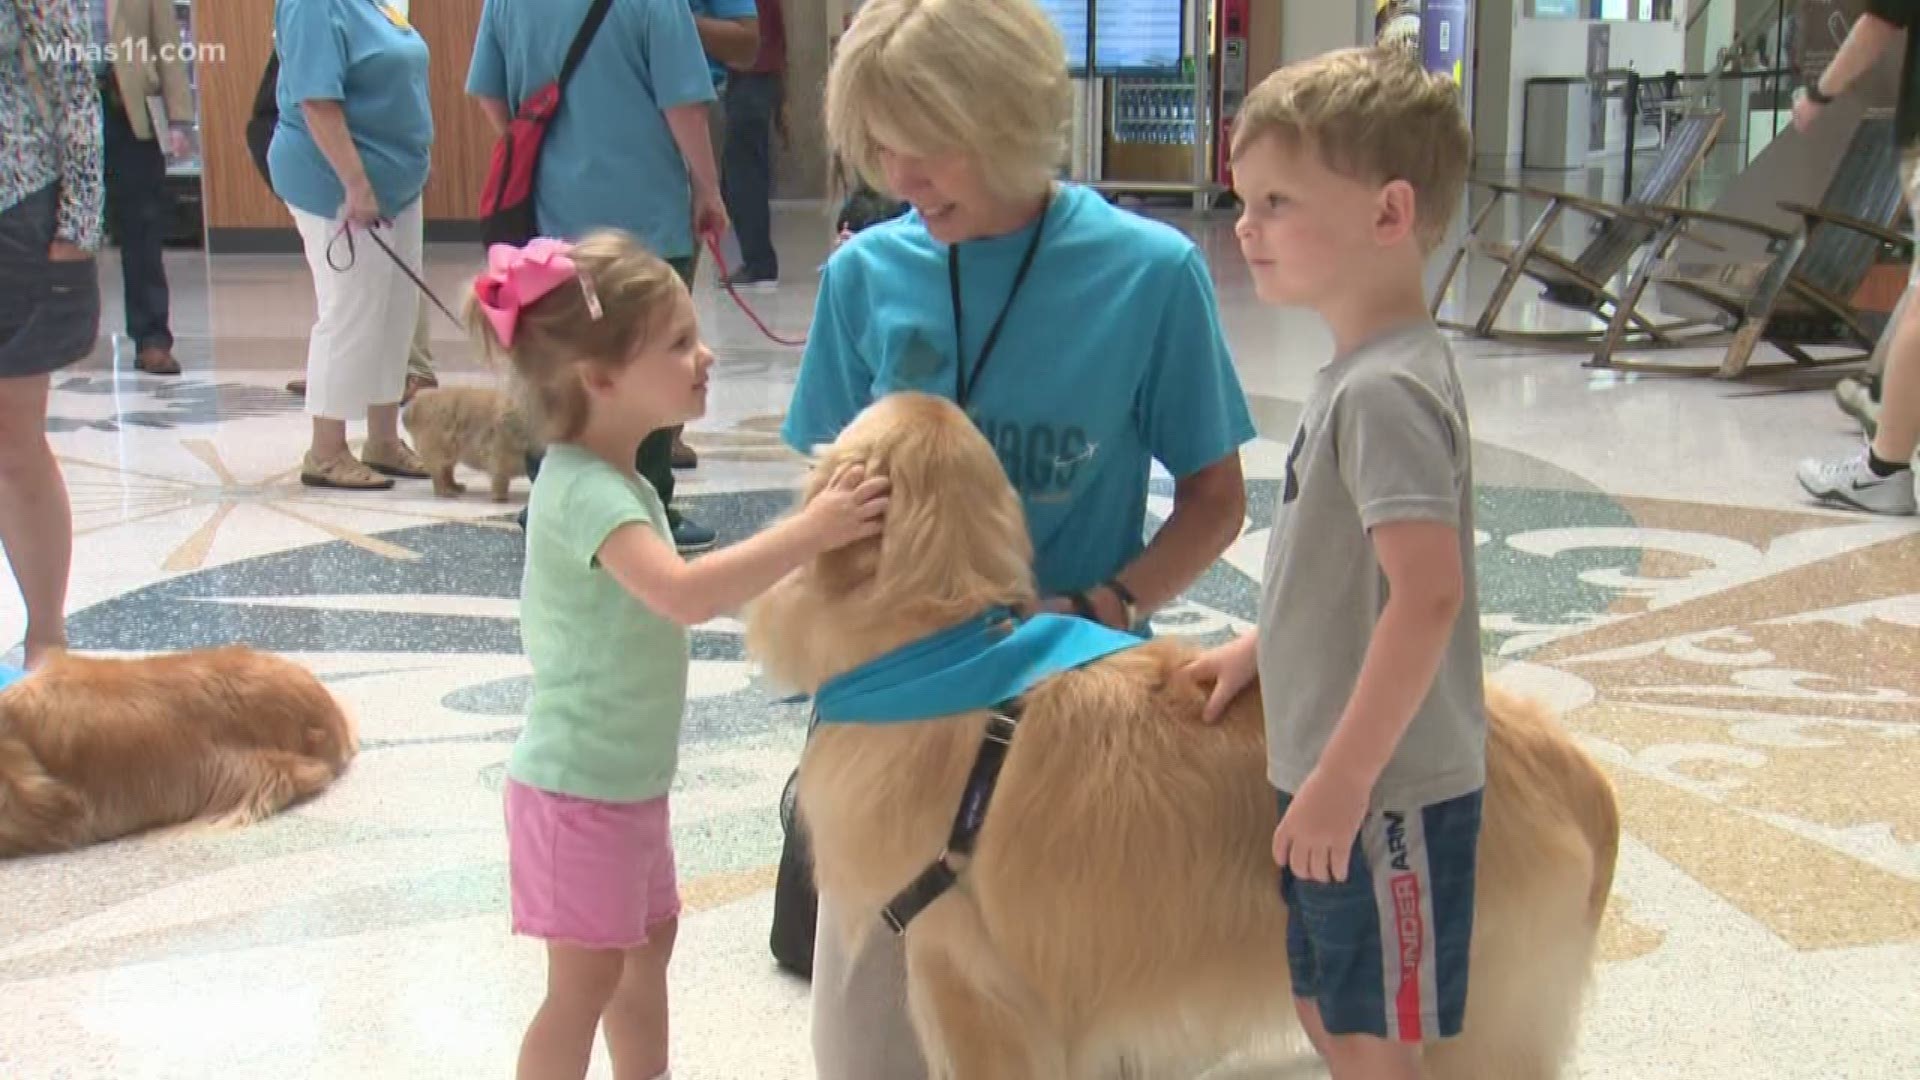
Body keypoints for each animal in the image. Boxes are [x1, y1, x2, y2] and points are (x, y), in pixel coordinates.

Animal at [401, 382, 541, 499]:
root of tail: (414, 404)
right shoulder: (500, 454)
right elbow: (500, 479)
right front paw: (500, 497)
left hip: (450, 452)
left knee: (447, 471)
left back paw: (454, 486)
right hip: (437, 449)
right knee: (438, 474)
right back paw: (445, 492)